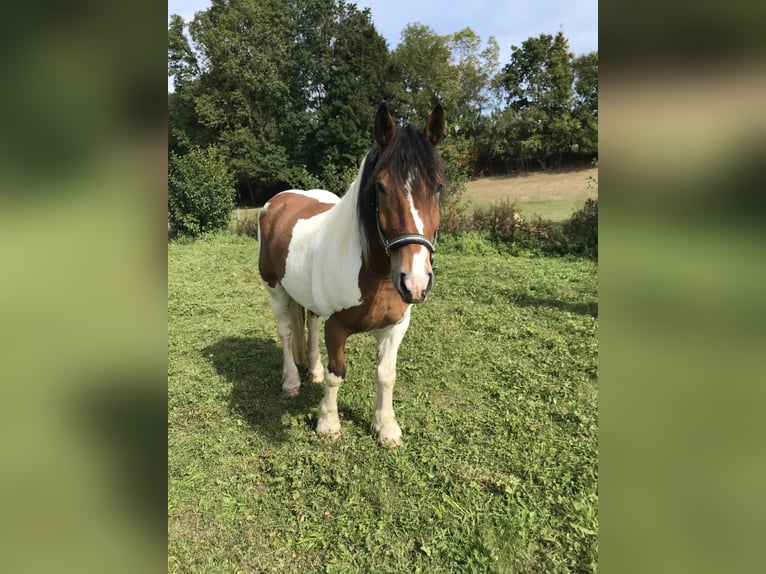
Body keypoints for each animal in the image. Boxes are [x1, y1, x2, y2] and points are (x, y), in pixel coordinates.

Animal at [258, 103, 448, 448]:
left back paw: (313, 370)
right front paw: (328, 423)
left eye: (438, 187)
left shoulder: (396, 326)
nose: (415, 284)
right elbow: (337, 373)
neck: (375, 275)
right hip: (275, 289)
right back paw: (291, 381)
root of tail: (278, 200)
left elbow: (386, 374)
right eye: (381, 187)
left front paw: (386, 427)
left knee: (310, 326)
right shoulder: (336, 327)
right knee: (287, 332)